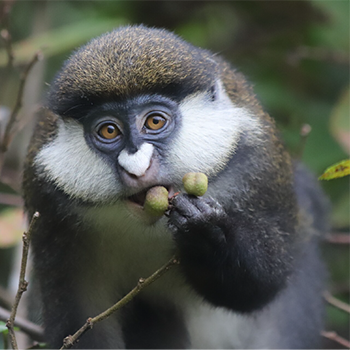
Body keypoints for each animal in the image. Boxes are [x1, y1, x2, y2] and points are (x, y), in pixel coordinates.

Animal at [23, 25, 330, 350]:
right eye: (108, 130)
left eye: (155, 122)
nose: (137, 167)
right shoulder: (47, 202)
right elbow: (80, 321)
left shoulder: (259, 163)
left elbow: (263, 284)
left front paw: (206, 233)